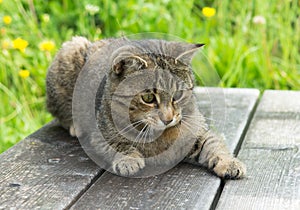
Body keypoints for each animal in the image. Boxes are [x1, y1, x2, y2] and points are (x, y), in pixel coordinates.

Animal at [45, 36, 245, 179]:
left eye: (178, 95)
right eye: (148, 97)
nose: (168, 118)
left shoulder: (198, 132)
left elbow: (214, 145)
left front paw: (229, 163)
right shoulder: (98, 136)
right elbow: (118, 144)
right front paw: (129, 160)